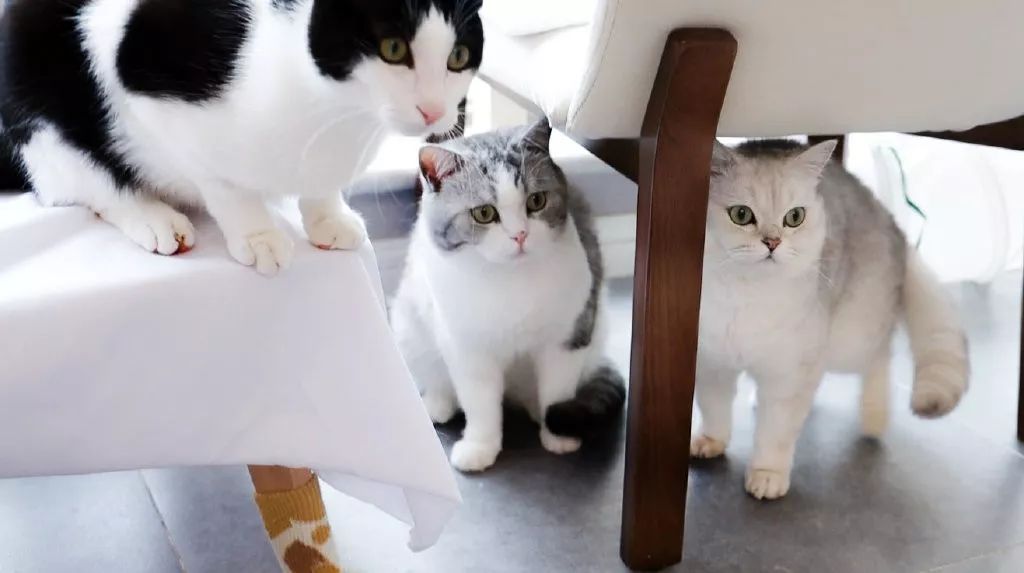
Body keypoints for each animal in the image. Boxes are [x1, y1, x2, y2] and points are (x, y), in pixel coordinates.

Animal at [0, 0, 482, 275]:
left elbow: (320, 185)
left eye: (458, 56)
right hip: (41, 114)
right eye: (394, 48)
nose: (435, 109)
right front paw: (257, 235)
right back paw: (153, 218)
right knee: (84, 179)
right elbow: (220, 181)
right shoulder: (139, 66)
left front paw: (327, 217)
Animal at [391, 119, 626, 472]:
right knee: (437, 380)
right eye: (484, 213)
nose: (520, 235)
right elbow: (480, 404)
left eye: (537, 201)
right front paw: (480, 447)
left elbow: (557, 390)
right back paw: (437, 405)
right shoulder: (469, 350)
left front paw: (558, 437)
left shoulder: (567, 337)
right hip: (409, 328)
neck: (511, 280)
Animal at [694, 139, 969, 500]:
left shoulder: (792, 373)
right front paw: (712, 441)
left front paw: (767, 475)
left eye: (794, 217)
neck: (747, 294)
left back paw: (874, 418)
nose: (772, 242)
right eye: (741, 215)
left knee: (881, 356)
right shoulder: (711, 361)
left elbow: (776, 431)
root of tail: (892, 222)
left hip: (851, 338)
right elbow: (714, 407)